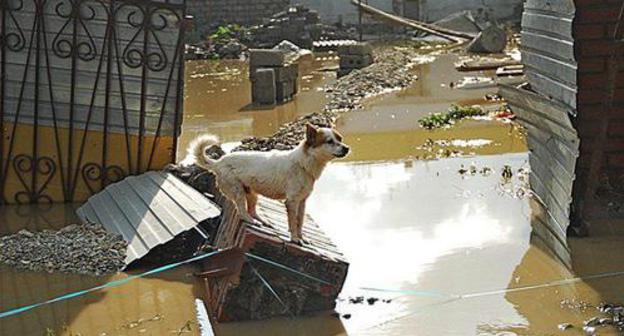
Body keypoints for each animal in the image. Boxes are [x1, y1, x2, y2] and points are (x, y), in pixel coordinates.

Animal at [188, 123, 348, 244]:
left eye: (339, 138)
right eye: (329, 141)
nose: (346, 148)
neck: (303, 164)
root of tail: (218, 162)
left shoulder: (302, 201)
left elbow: (300, 222)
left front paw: (302, 238)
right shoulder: (292, 201)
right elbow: (293, 223)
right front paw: (295, 239)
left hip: (251, 193)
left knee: (252, 210)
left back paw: (262, 221)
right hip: (238, 191)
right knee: (242, 211)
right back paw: (252, 221)